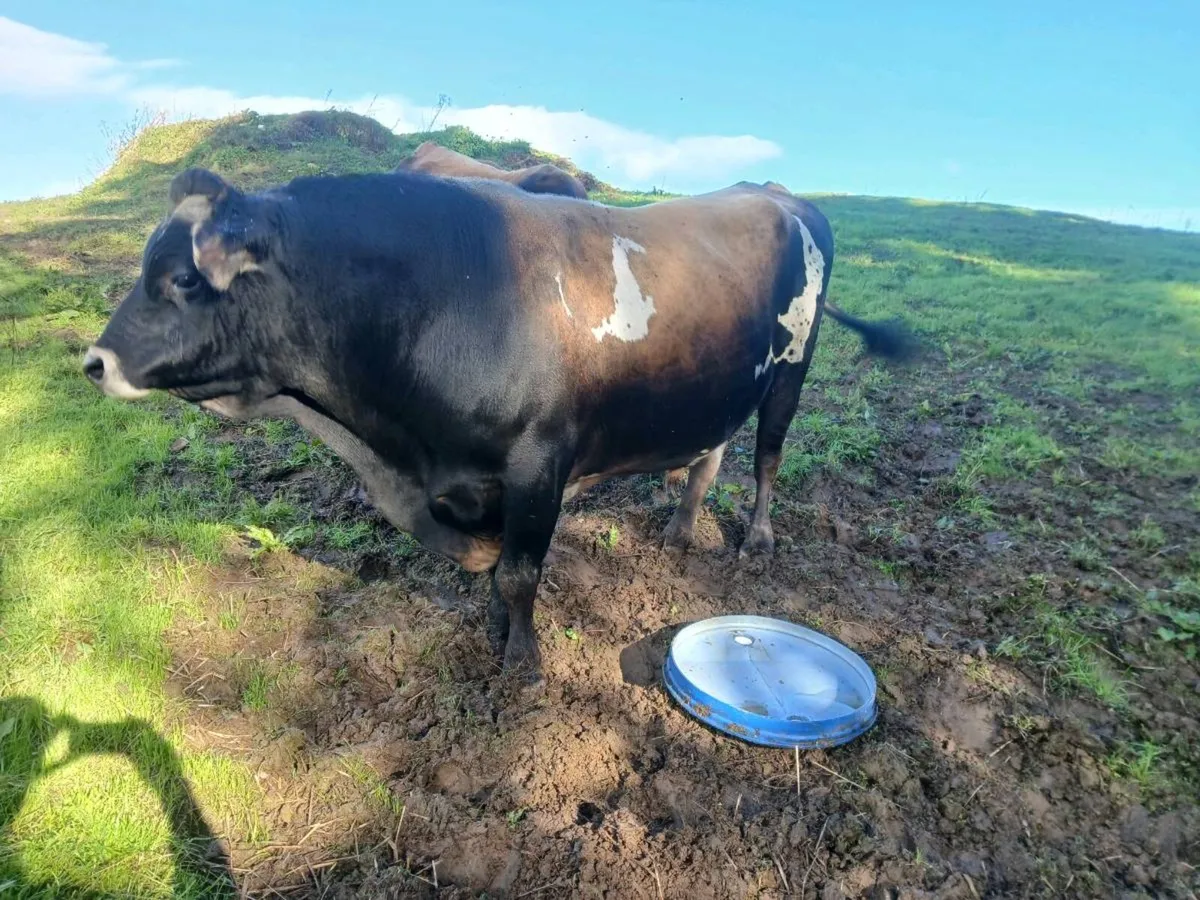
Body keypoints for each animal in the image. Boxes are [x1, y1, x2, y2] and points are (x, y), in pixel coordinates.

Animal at [83, 165, 912, 683]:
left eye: (182, 277)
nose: (95, 360)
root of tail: (773, 192)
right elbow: (487, 563)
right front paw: (489, 617)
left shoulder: (540, 460)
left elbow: (519, 571)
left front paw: (522, 659)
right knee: (713, 449)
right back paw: (681, 527)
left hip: (793, 366)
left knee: (769, 453)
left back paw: (758, 538)